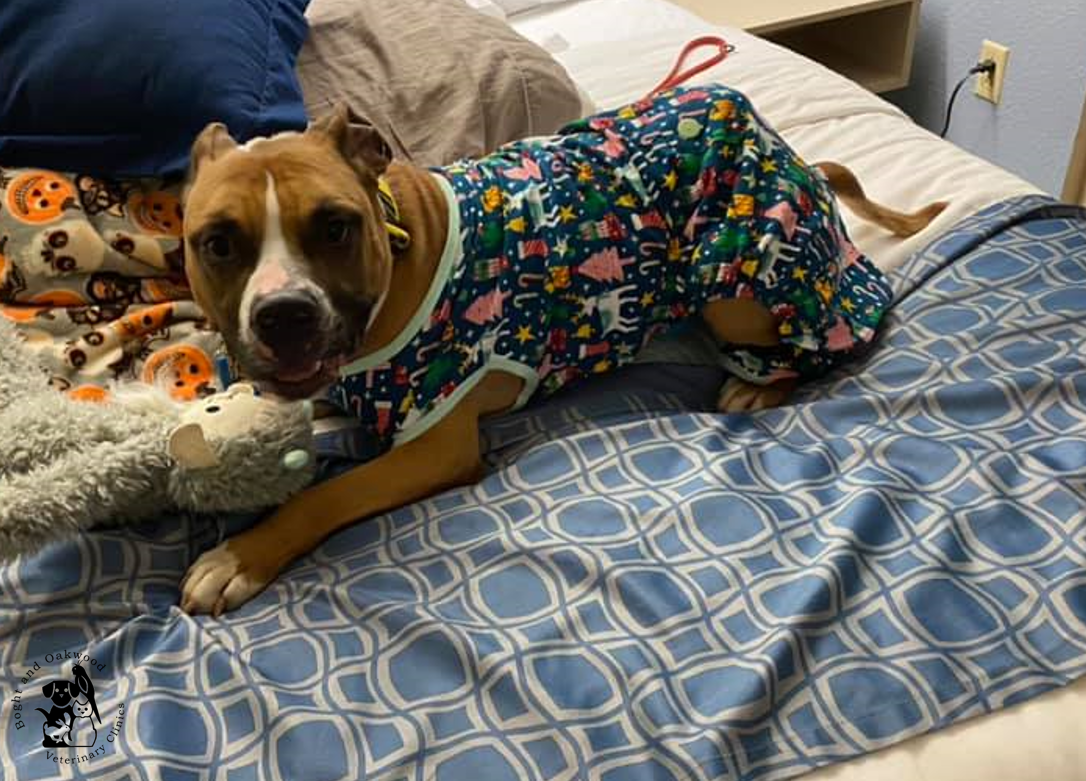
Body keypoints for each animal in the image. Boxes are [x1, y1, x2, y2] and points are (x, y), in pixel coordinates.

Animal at [178, 105, 942, 616]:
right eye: (216, 244)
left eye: (335, 227)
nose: (284, 313)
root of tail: (794, 154)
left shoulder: (435, 446)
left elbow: (328, 492)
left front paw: (240, 555)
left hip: (737, 277)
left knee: (838, 326)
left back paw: (759, 385)